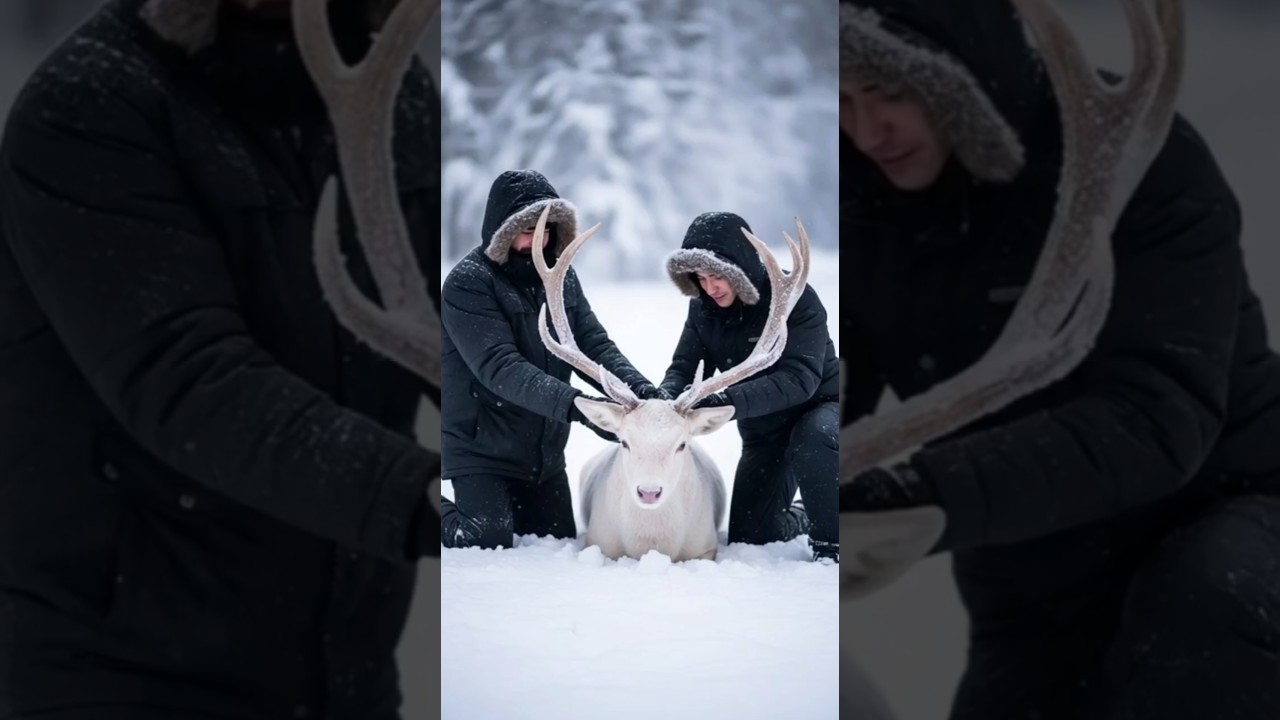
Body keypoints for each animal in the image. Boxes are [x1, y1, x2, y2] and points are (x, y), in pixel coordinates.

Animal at [528, 204, 812, 562]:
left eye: (681, 445)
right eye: (624, 442)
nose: (649, 492)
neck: (652, 545)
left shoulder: (705, 547)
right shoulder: (597, 542)